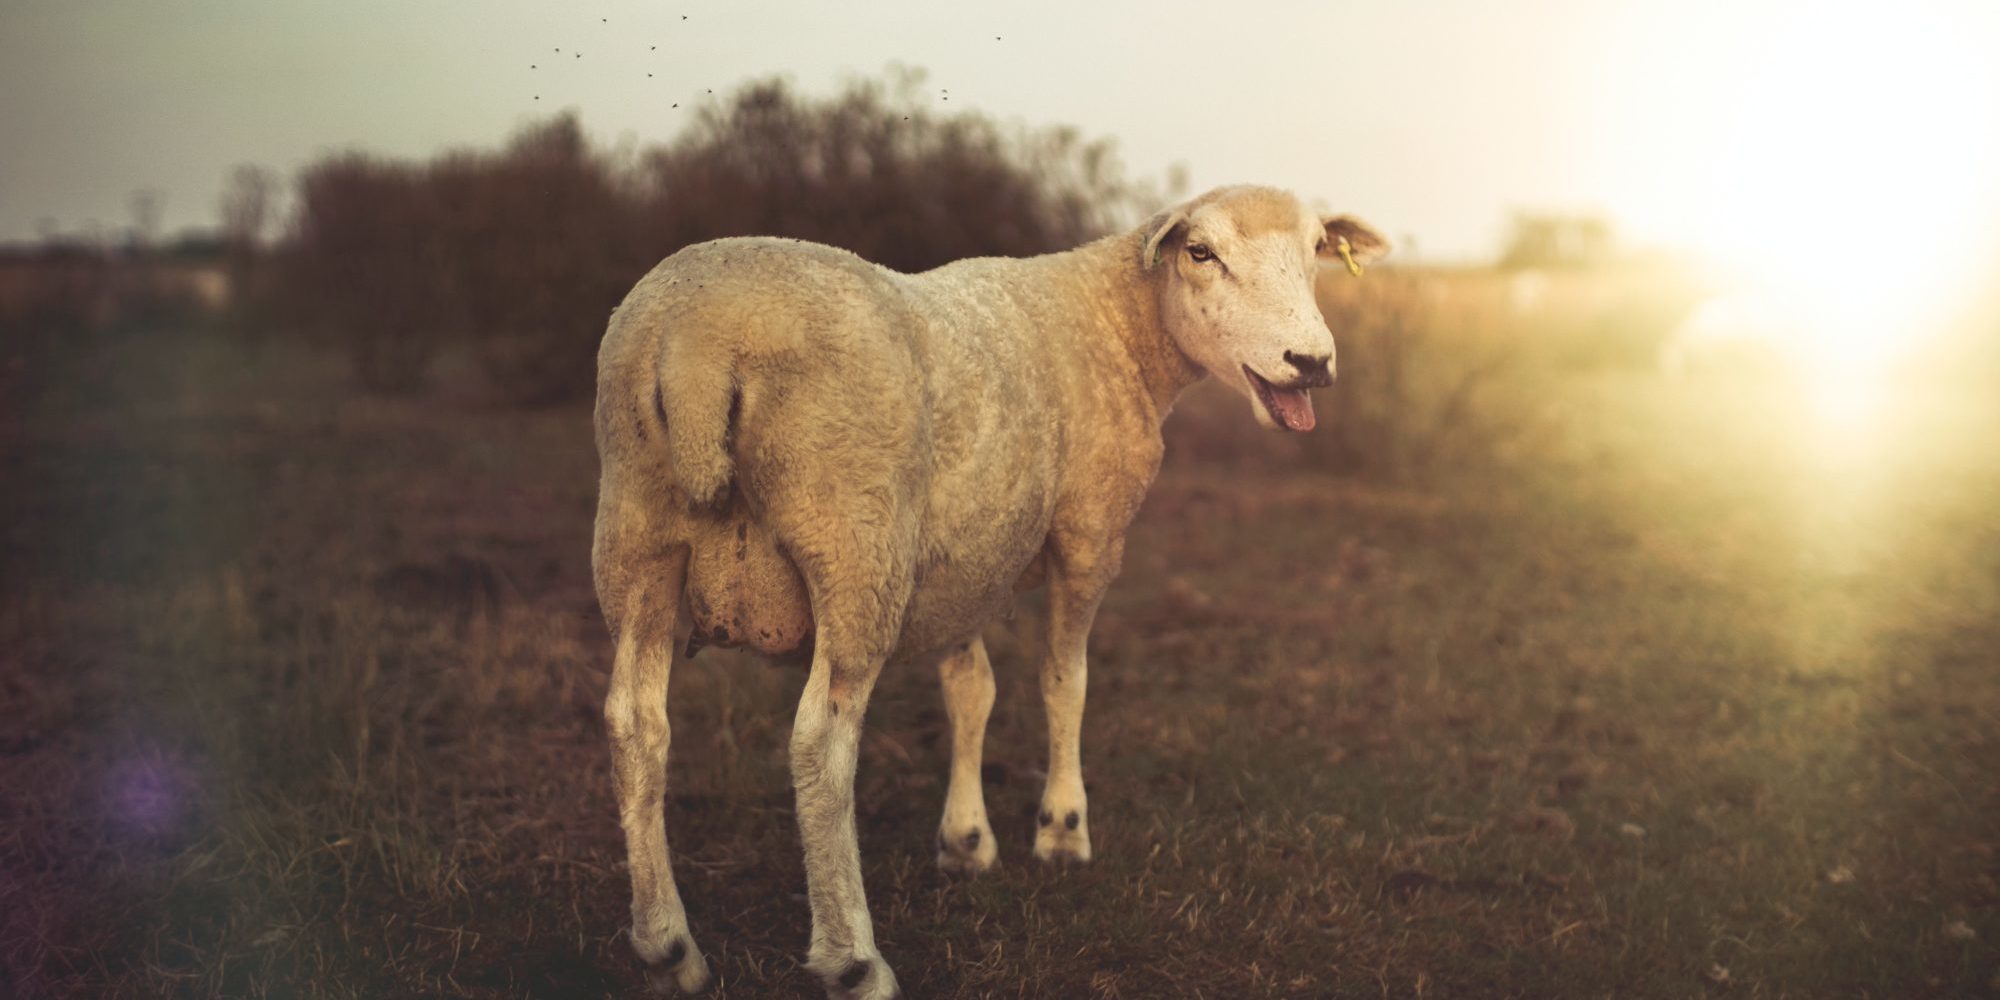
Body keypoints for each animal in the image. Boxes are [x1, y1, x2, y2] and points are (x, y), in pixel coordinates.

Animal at [593, 185, 1389, 998]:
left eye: (1317, 249)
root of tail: (696, 347)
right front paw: (1063, 830)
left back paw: (668, 948)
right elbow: (1064, 680)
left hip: (636, 533)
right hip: (854, 540)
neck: (1117, 325)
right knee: (821, 743)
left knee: (635, 724)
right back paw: (853, 958)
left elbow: (970, 689)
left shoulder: (966, 555)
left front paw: (967, 840)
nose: (1310, 361)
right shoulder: (1089, 532)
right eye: (1201, 253)